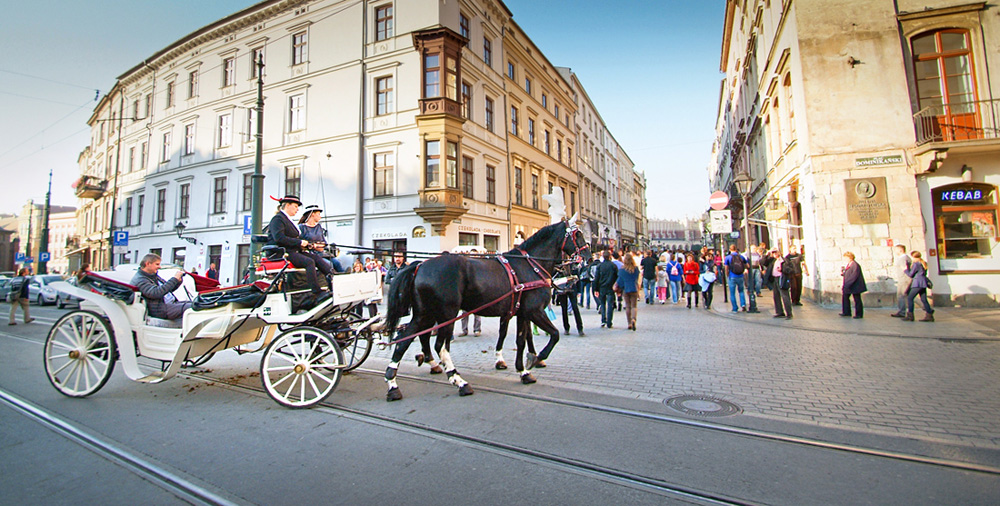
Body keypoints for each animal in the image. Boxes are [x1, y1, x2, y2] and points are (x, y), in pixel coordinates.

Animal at [380, 219, 584, 402]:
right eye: (577, 235)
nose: (587, 257)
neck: (529, 265)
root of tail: (420, 265)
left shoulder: (521, 313)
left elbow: (520, 340)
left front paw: (523, 371)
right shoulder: (535, 311)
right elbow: (554, 334)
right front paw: (537, 358)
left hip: (425, 314)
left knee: (405, 339)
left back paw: (393, 384)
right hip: (446, 314)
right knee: (439, 346)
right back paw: (459, 381)